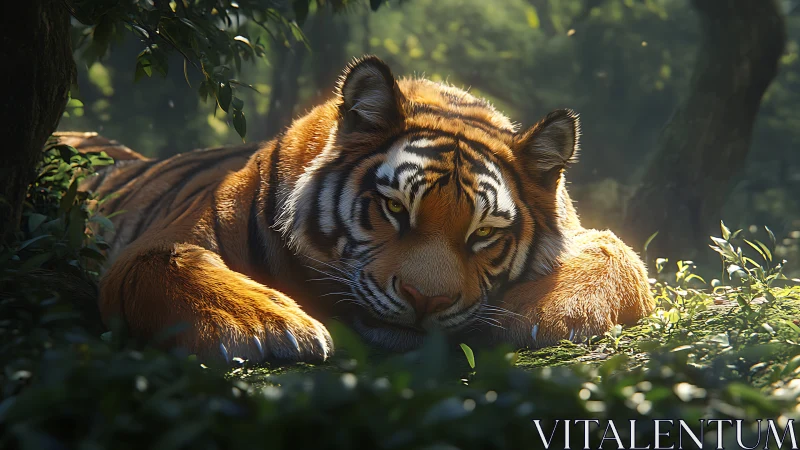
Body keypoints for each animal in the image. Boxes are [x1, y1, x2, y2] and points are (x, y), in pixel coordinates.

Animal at [68, 56, 654, 363]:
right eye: (394, 208)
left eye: (483, 234)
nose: (425, 300)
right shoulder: (165, 242)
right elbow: (170, 266)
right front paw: (270, 325)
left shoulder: (589, 235)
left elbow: (619, 254)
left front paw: (540, 313)